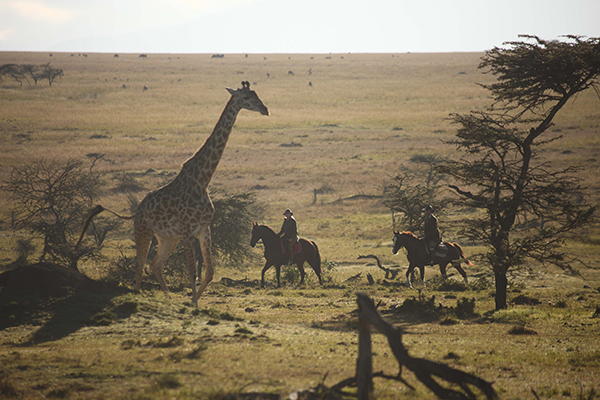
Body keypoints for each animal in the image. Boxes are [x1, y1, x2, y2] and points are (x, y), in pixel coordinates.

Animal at [77, 81, 268, 306]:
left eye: (256, 94)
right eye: (246, 98)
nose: (265, 109)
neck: (202, 180)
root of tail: (137, 211)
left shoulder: (204, 228)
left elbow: (210, 272)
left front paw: (193, 302)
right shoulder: (187, 230)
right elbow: (192, 271)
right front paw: (194, 306)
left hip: (167, 238)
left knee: (155, 265)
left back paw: (168, 298)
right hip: (143, 230)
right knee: (139, 266)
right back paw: (138, 296)